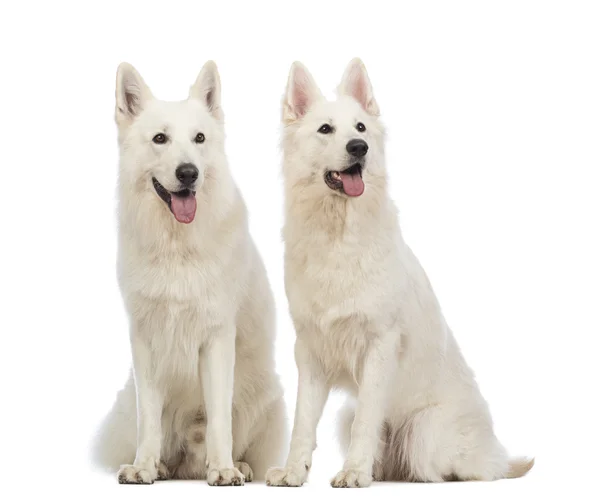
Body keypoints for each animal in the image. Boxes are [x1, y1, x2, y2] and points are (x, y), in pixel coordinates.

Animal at [94, 60, 288, 484]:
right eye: (160, 138)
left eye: (199, 138)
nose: (188, 173)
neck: (176, 248)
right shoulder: (145, 341)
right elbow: (148, 420)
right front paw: (144, 467)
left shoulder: (215, 338)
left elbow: (218, 420)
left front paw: (224, 470)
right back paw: (164, 465)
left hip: (266, 394)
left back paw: (238, 465)